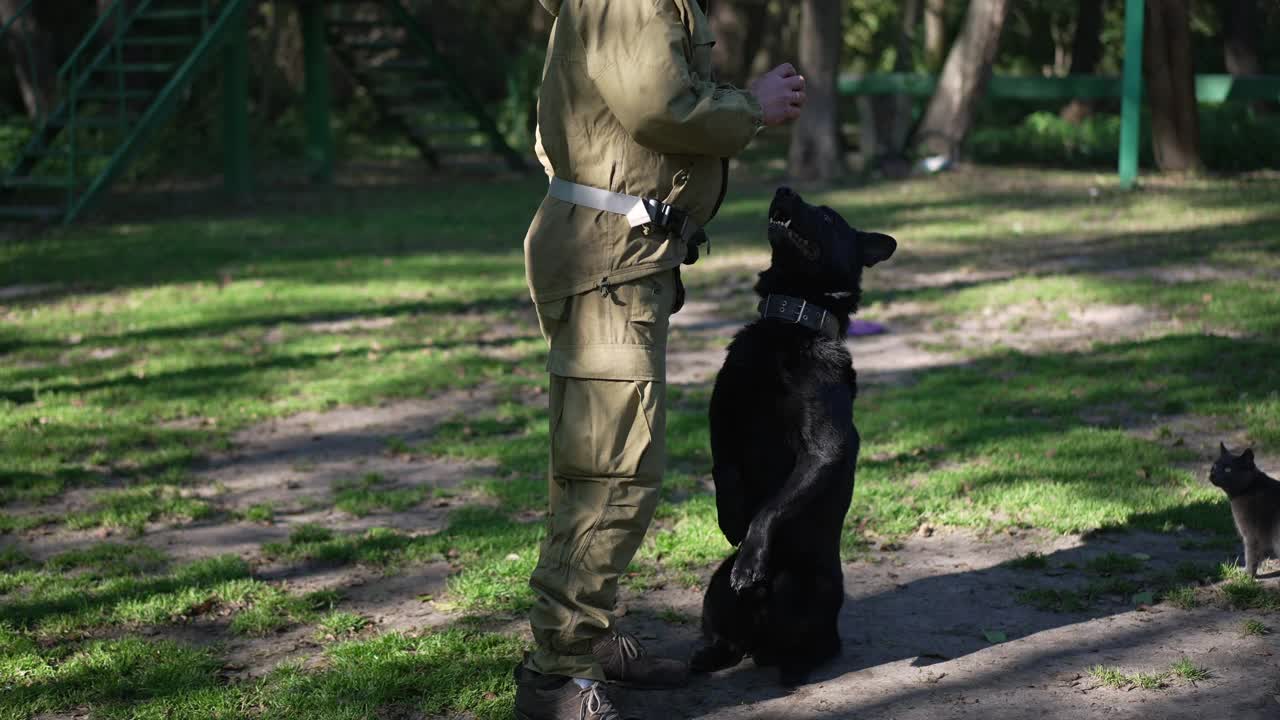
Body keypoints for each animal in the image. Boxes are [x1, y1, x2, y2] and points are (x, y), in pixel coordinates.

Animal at [691, 184, 890, 681]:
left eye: (829, 217)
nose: (783, 189)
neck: (788, 325)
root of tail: (759, 643)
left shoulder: (824, 449)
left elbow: (771, 509)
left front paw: (750, 556)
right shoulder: (722, 418)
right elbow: (724, 470)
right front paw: (730, 519)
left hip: (804, 589)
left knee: (821, 644)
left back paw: (793, 665)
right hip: (715, 589)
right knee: (729, 637)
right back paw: (711, 655)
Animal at [1208, 440, 1280, 573]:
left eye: (1228, 469)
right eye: (1214, 466)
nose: (1213, 474)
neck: (1249, 489)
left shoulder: (1252, 535)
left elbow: (1250, 556)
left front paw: (1247, 574)